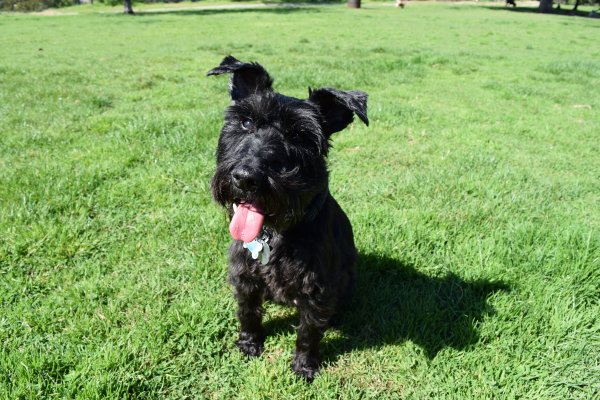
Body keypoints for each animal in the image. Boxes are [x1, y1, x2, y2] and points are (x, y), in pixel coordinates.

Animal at [206, 56, 368, 382]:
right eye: (246, 122)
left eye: (298, 135)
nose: (246, 177)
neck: (275, 233)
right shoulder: (244, 277)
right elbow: (247, 313)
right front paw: (248, 344)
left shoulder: (317, 291)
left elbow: (308, 332)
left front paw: (305, 366)